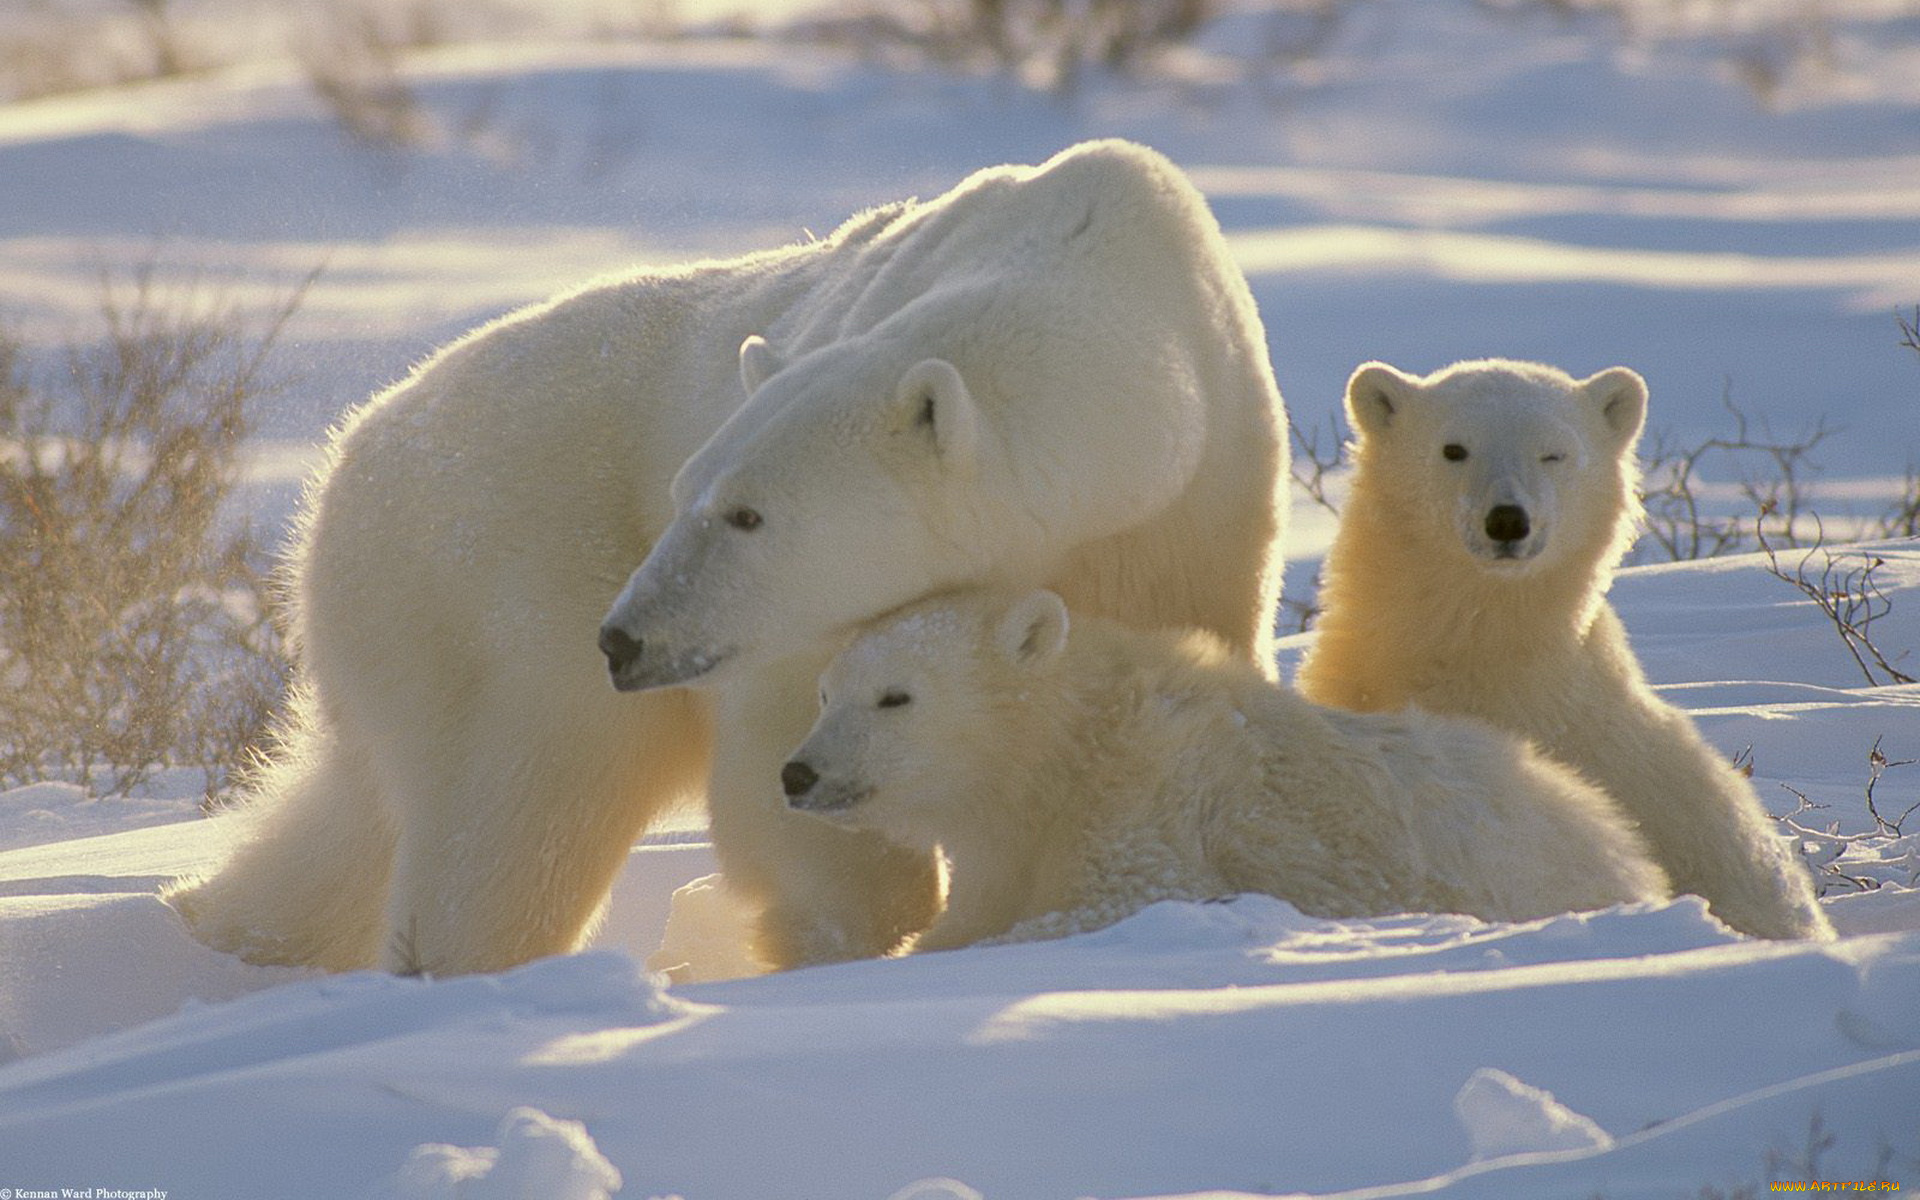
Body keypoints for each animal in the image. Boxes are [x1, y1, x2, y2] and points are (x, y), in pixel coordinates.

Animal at [168, 140, 1290, 975]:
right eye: (686, 493)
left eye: (746, 514)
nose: (625, 638)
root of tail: (347, 457)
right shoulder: (795, 632)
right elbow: (790, 764)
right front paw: (852, 937)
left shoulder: (1196, 513)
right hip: (495, 573)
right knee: (525, 802)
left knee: (355, 810)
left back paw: (215, 925)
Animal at [779, 583, 1666, 948]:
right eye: (824, 692)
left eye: (895, 696)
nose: (797, 773)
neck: (1071, 747)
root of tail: (1625, 845)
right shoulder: (1006, 843)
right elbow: (972, 911)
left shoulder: (1152, 796)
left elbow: (1122, 899)